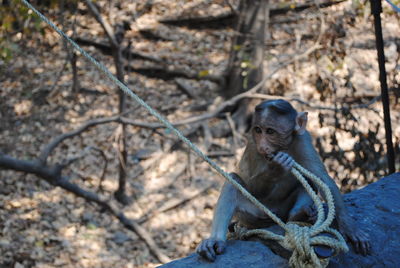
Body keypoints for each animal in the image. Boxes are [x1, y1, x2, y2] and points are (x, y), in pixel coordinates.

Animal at [198, 99, 372, 262]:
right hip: (251, 214)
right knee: (234, 182)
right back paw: (216, 240)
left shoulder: (303, 139)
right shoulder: (253, 145)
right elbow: (250, 186)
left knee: (307, 181)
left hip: (283, 210)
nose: (263, 146)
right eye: (258, 130)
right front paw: (277, 167)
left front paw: (350, 228)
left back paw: (299, 214)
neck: (283, 148)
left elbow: (322, 178)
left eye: (270, 131)